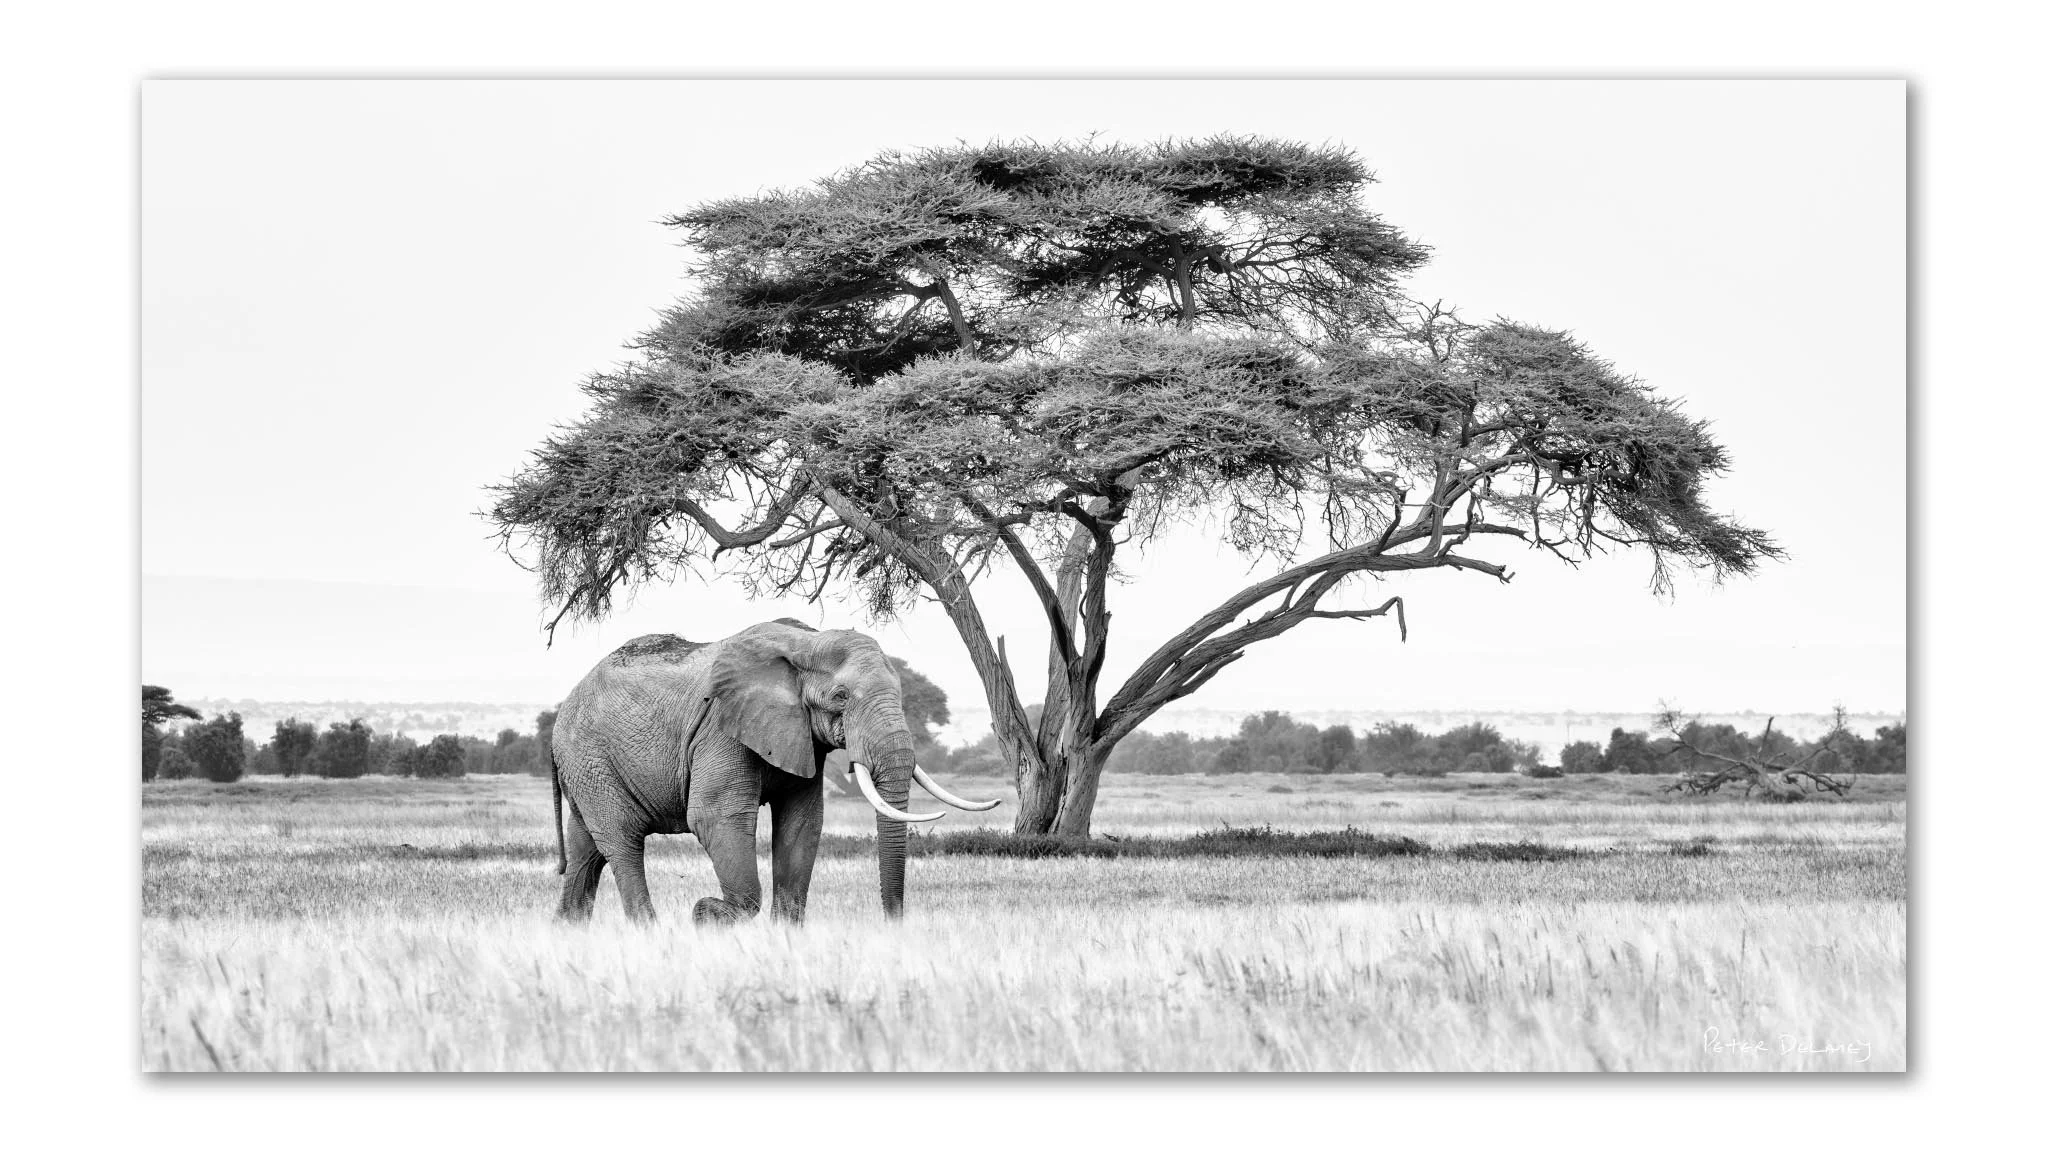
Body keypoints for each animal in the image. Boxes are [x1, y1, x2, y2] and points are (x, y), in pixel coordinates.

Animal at [547, 618, 998, 925]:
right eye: (841, 696)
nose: (893, 924)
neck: (807, 642)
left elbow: (802, 822)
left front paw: (783, 934)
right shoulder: (721, 728)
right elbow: (716, 817)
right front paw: (707, 913)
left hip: (586, 767)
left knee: (587, 851)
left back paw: (569, 932)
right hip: (590, 756)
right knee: (621, 843)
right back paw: (650, 931)